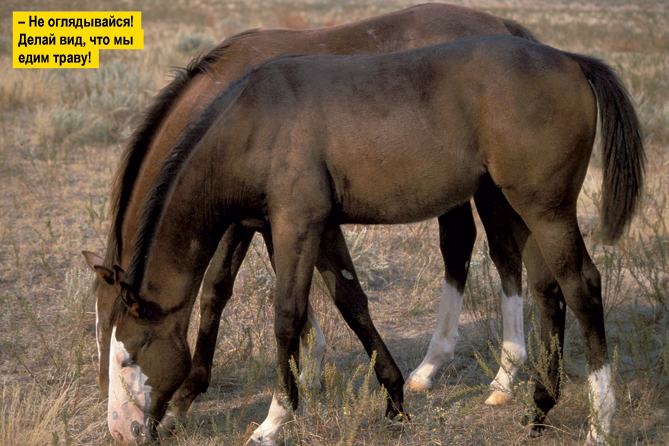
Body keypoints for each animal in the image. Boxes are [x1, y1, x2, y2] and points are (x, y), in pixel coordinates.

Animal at [100, 35, 640, 446]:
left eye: (127, 355)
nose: (122, 430)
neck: (251, 122)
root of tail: (571, 60)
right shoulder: (305, 226)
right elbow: (348, 299)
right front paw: (395, 400)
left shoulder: (296, 223)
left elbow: (287, 315)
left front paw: (275, 420)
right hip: (518, 205)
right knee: (548, 291)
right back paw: (538, 410)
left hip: (545, 210)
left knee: (583, 286)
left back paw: (599, 423)